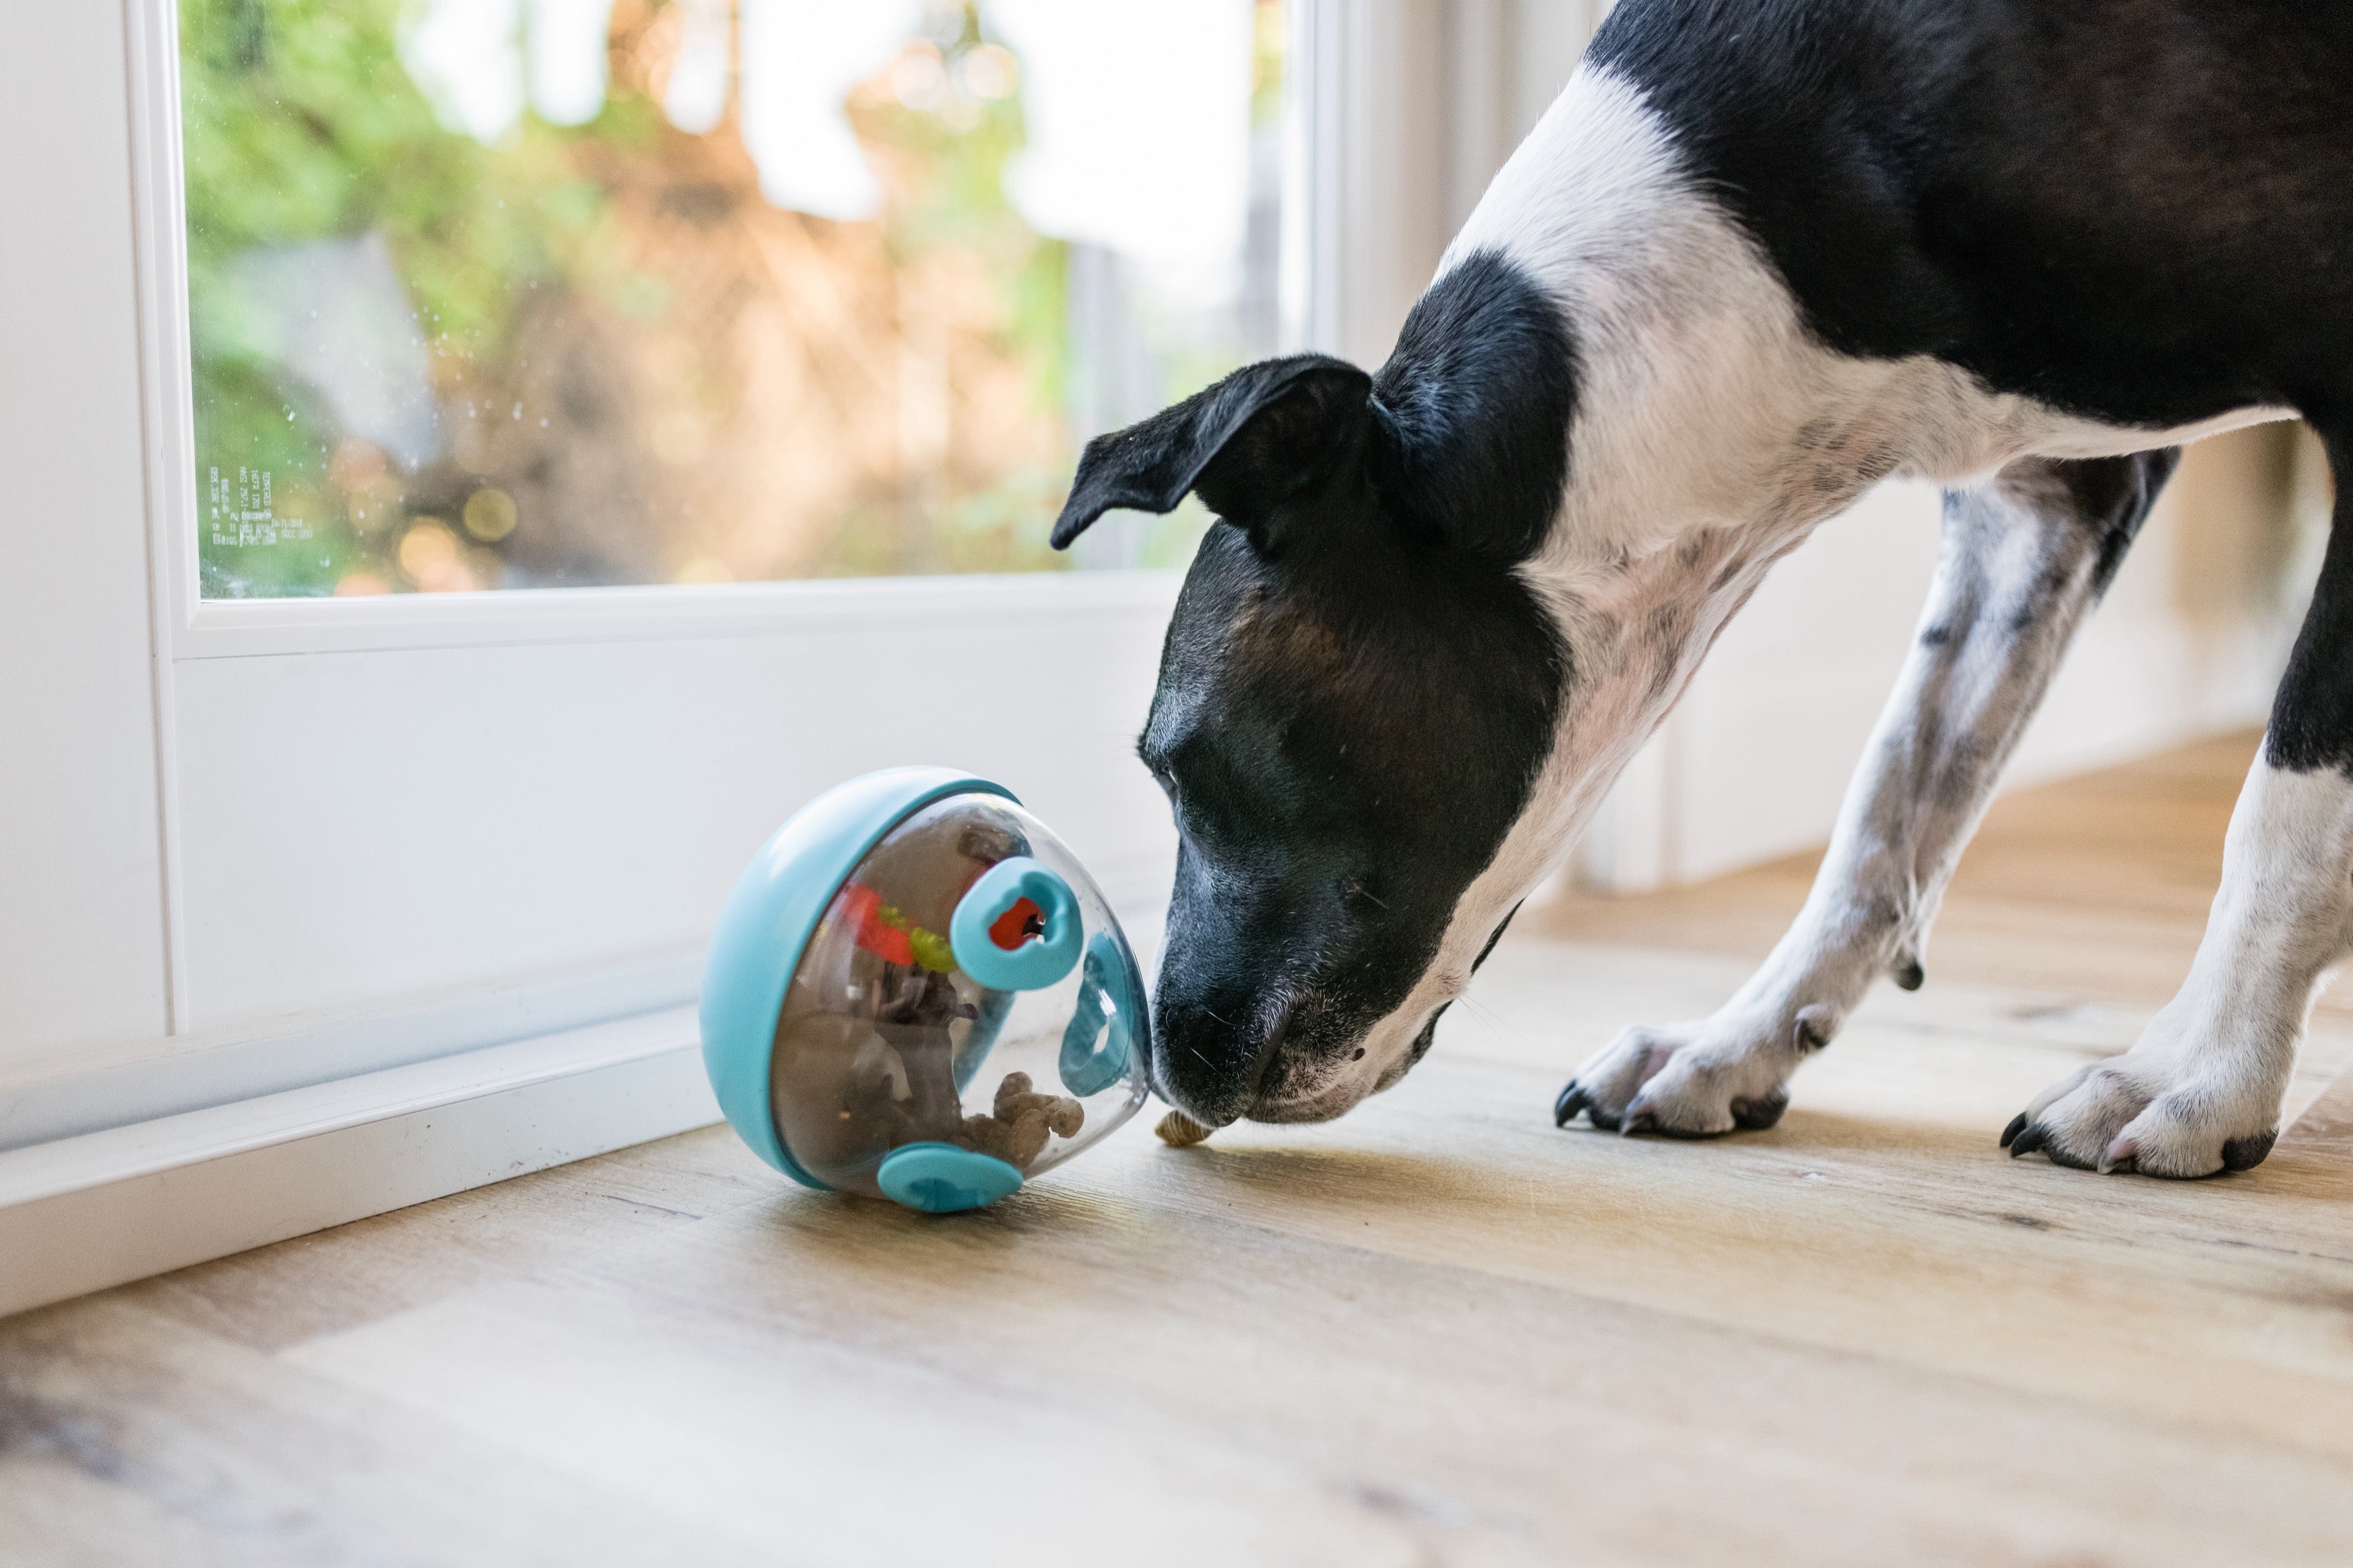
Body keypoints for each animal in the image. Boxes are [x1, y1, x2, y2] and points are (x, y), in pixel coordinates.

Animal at [1049, 0, 2353, 1175]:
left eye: (1181, 762)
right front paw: (1738, 1042)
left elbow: (2284, 811)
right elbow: (1889, 808)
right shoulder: (2043, 500)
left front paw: (2200, 1075)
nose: (1170, 1059)